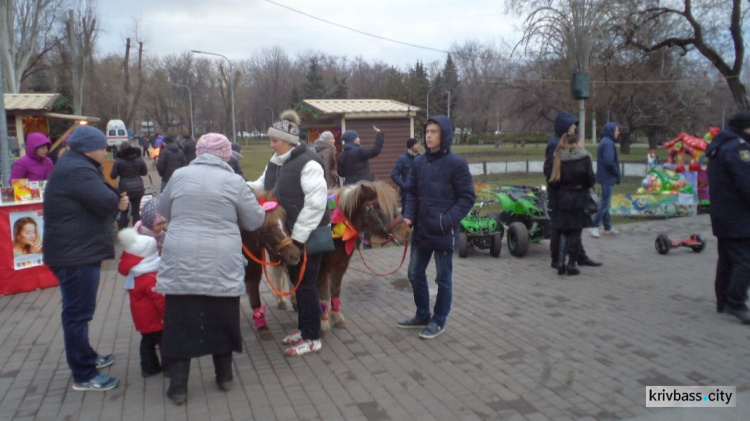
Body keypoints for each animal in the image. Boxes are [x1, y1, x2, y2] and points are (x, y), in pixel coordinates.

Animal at [318, 179, 412, 334]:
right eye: (379, 207)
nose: (407, 233)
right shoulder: (322, 269)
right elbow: (324, 294)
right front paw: (324, 324)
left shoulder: (341, 266)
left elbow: (335, 290)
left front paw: (337, 318)